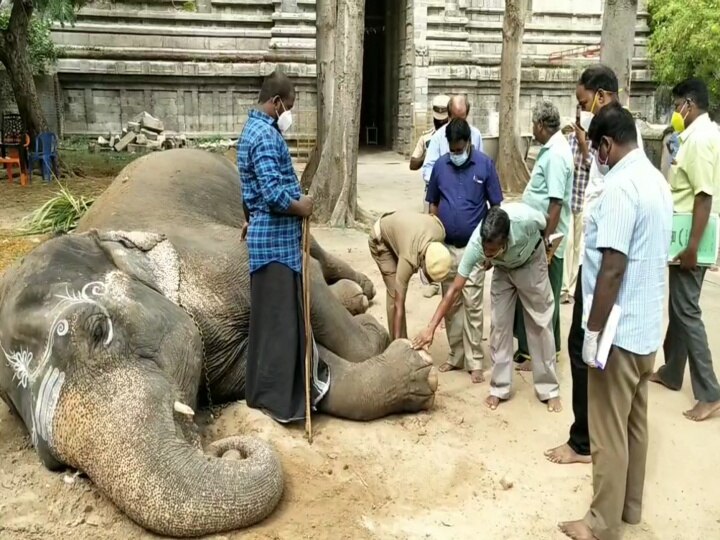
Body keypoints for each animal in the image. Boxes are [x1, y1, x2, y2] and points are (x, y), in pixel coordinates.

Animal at [0, 147, 438, 536]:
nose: (225, 450)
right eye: (51, 460)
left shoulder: (219, 257)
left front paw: (380, 335)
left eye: (96, 330)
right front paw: (417, 374)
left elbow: (307, 278)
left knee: (314, 251)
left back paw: (362, 291)